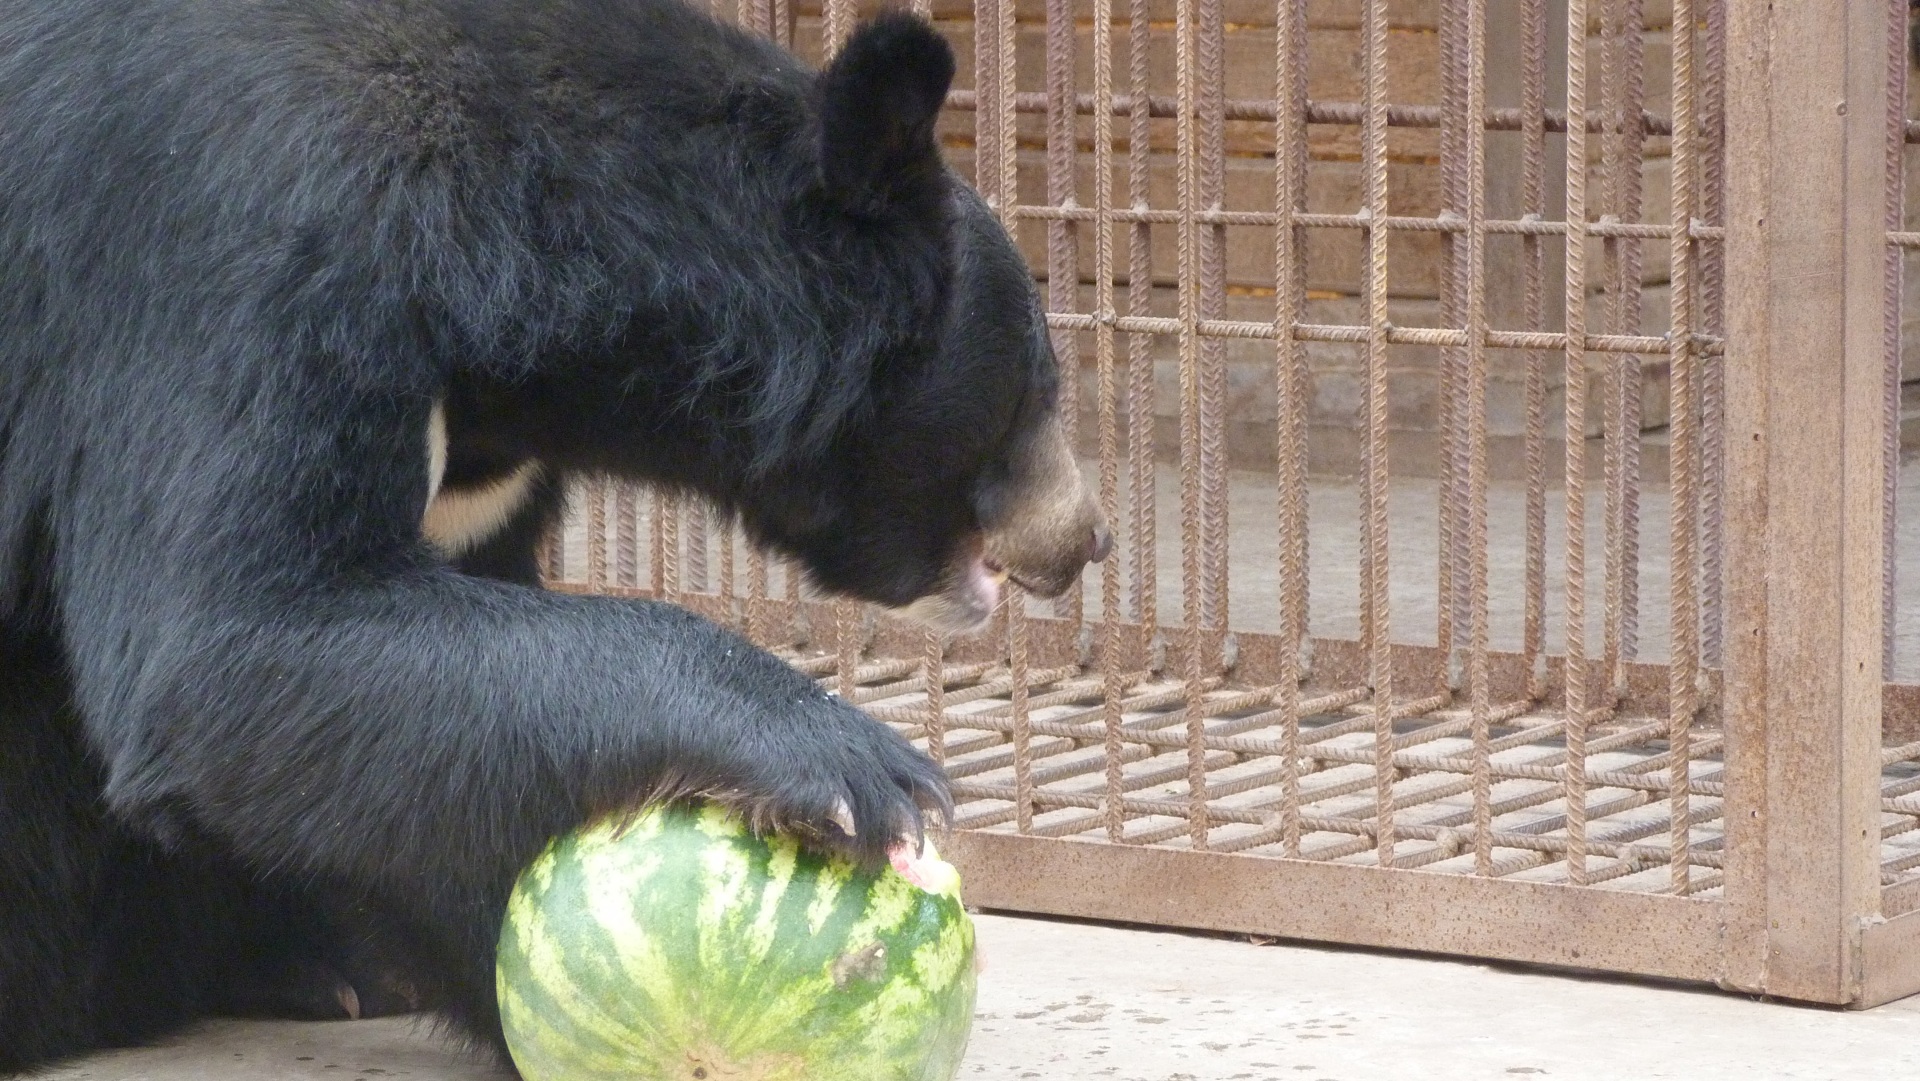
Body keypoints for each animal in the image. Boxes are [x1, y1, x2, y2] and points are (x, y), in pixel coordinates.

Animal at [0, 0, 1109, 1071]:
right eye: (1037, 381)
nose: (1083, 541)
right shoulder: (249, 235)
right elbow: (229, 636)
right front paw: (859, 767)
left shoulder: (487, 479)